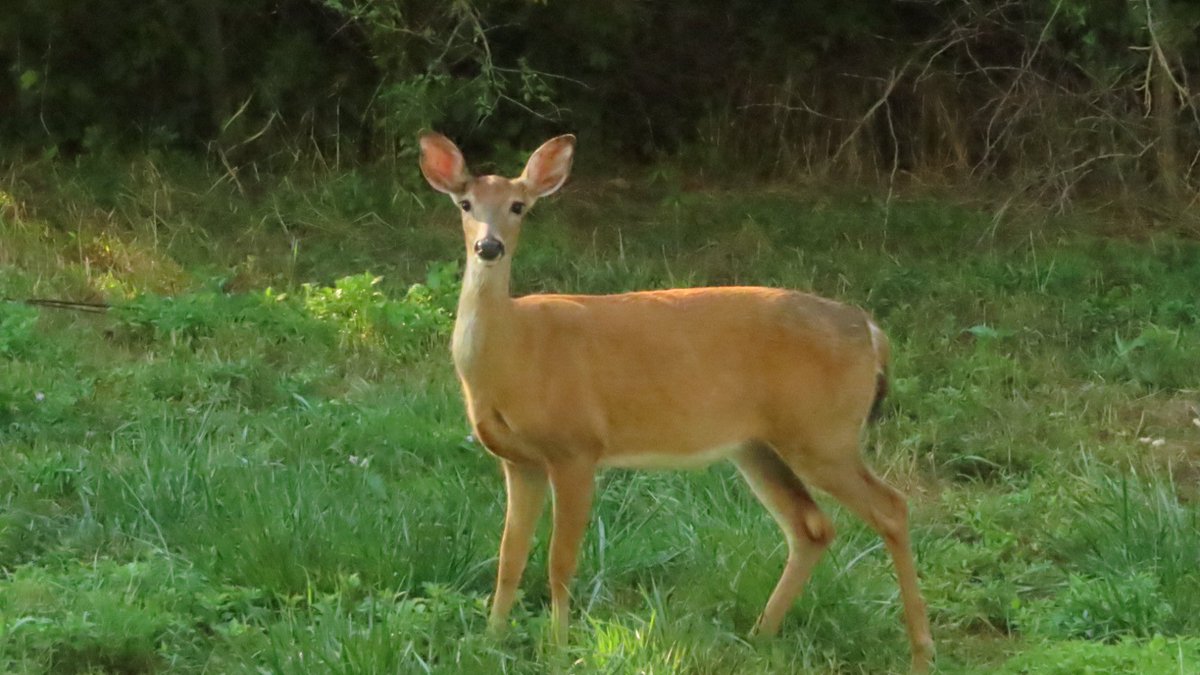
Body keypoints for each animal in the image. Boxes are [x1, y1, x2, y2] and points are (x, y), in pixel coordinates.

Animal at [418, 131, 934, 672]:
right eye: (465, 204)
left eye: (519, 206)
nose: (489, 246)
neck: (515, 351)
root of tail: (871, 331)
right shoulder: (520, 461)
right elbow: (509, 557)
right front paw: (490, 640)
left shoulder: (576, 446)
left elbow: (560, 561)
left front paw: (558, 648)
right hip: (759, 444)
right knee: (812, 526)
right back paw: (759, 635)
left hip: (824, 431)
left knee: (892, 507)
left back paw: (920, 651)